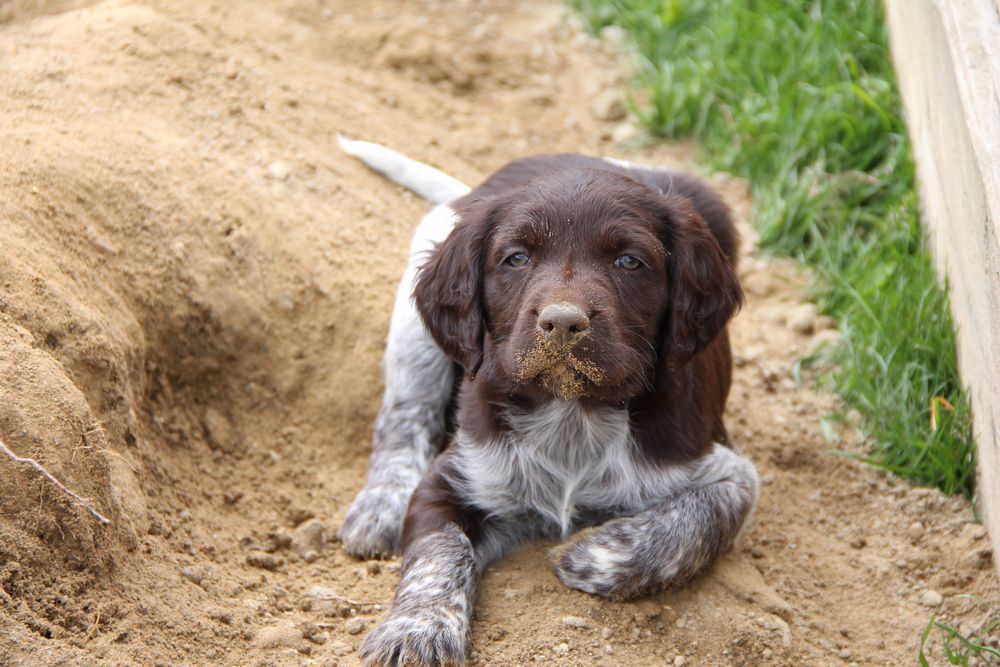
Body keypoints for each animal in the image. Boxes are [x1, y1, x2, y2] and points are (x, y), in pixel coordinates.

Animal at [336, 137, 756, 667]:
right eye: (516, 258)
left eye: (629, 261)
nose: (562, 322)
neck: (571, 411)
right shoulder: (454, 478)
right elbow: (437, 553)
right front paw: (415, 632)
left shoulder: (727, 470)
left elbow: (700, 522)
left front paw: (586, 552)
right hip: (416, 324)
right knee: (404, 414)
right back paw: (379, 507)